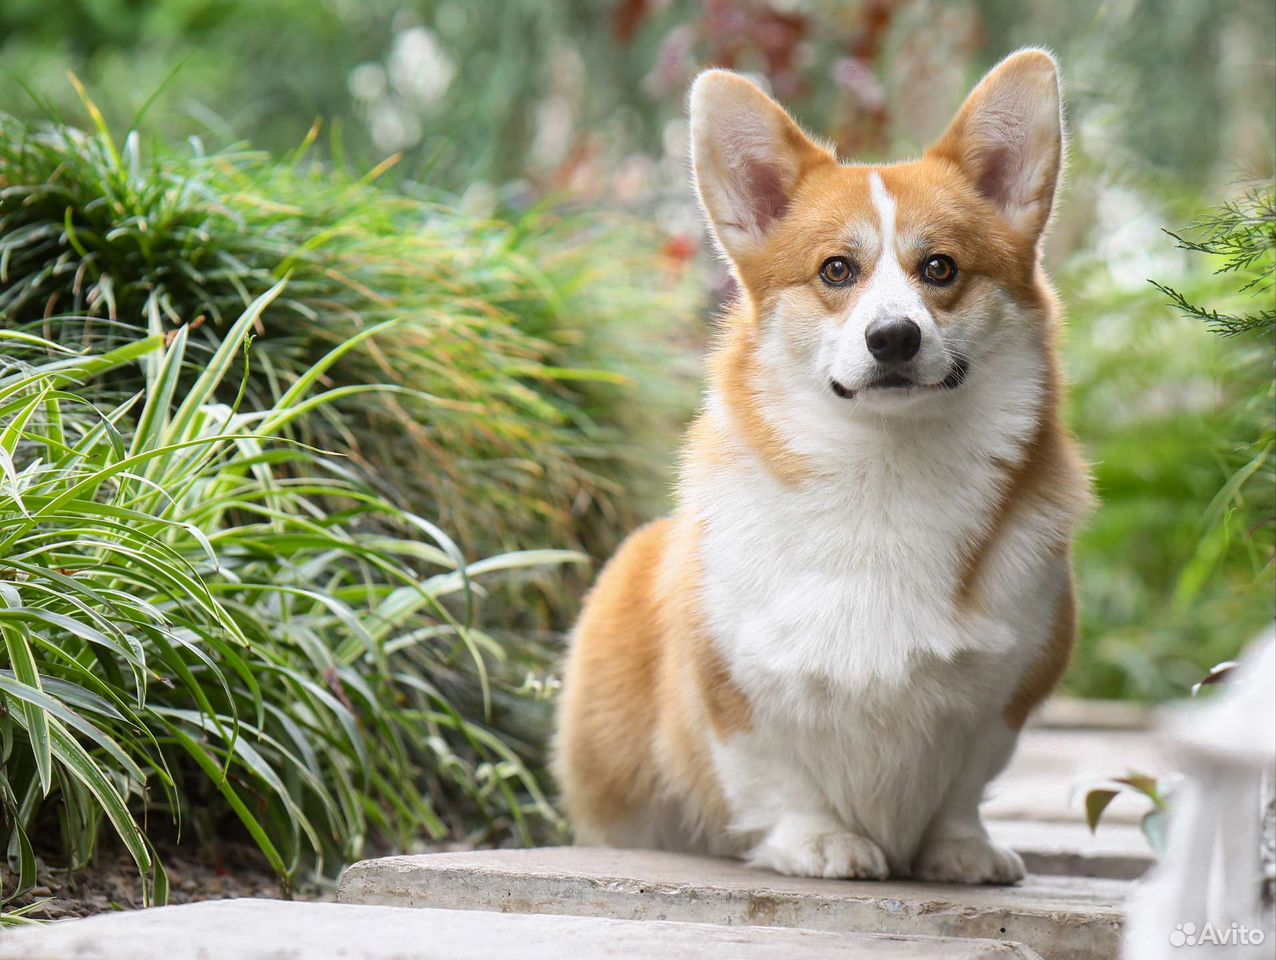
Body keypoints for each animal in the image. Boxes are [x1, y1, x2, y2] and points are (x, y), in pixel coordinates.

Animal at [553, 48, 1092, 883]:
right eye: (837, 270)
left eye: (941, 268)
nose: (894, 338)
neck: (887, 469)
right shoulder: (733, 691)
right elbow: (778, 777)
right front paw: (818, 842)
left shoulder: (1006, 692)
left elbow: (964, 784)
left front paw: (961, 850)